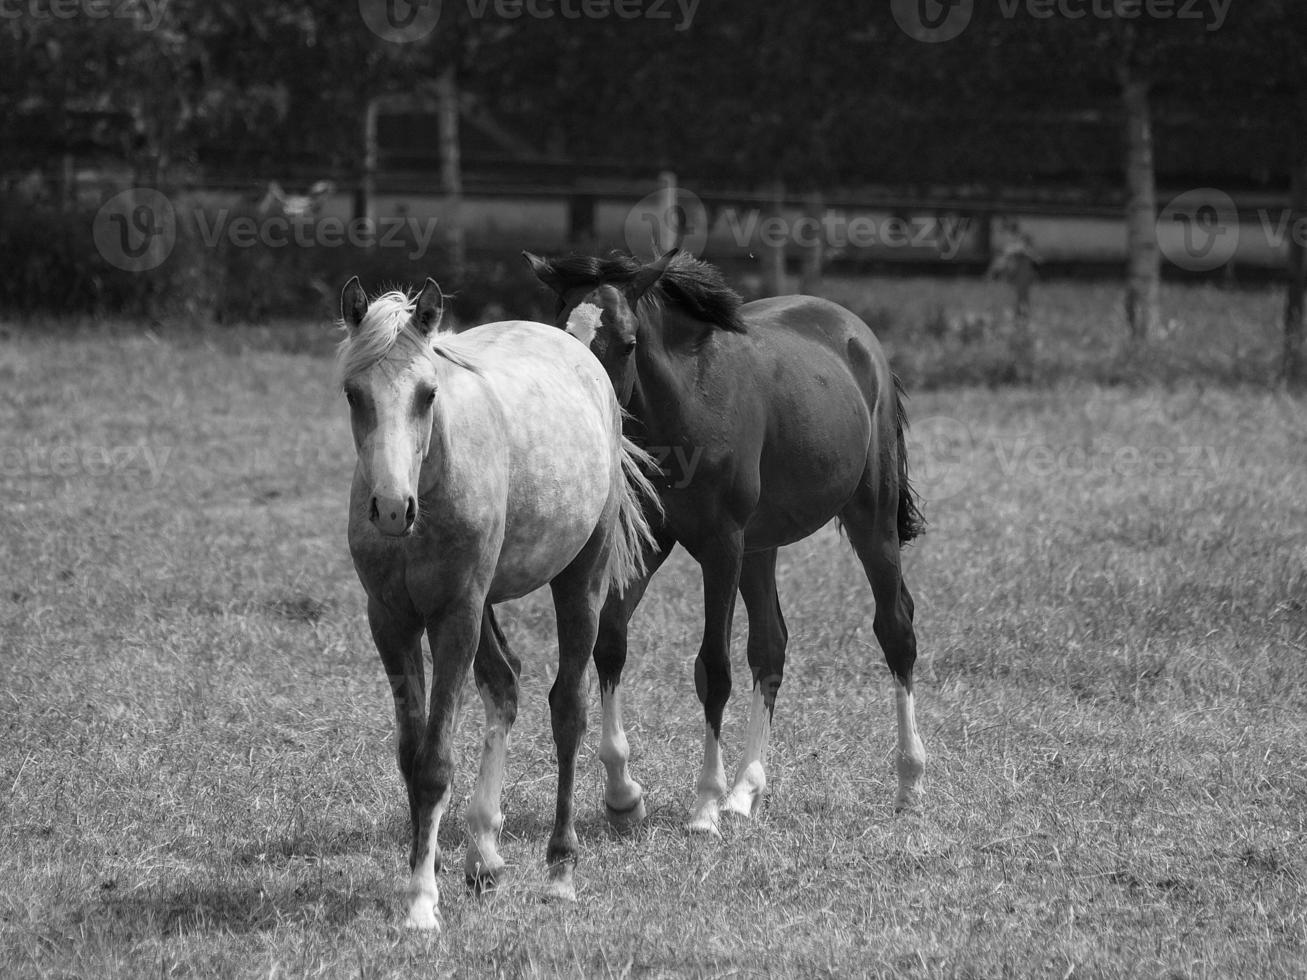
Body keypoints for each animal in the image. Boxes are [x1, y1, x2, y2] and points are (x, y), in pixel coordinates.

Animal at [339, 274, 653, 930]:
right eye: (354, 393)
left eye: (428, 393)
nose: (391, 508)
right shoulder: (392, 621)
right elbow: (411, 755)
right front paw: (430, 870)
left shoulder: (454, 619)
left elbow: (434, 763)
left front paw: (421, 904)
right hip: (484, 607)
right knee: (505, 687)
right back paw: (483, 855)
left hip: (577, 581)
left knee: (568, 708)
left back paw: (560, 870)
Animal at [525, 249, 925, 831]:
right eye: (560, 332)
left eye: (627, 343)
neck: (686, 406)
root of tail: (857, 334)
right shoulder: (653, 541)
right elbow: (611, 643)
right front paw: (624, 794)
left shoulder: (721, 547)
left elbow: (713, 667)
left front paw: (704, 805)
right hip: (761, 546)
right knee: (771, 646)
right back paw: (745, 791)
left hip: (868, 518)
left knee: (895, 627)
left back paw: (909, 782)